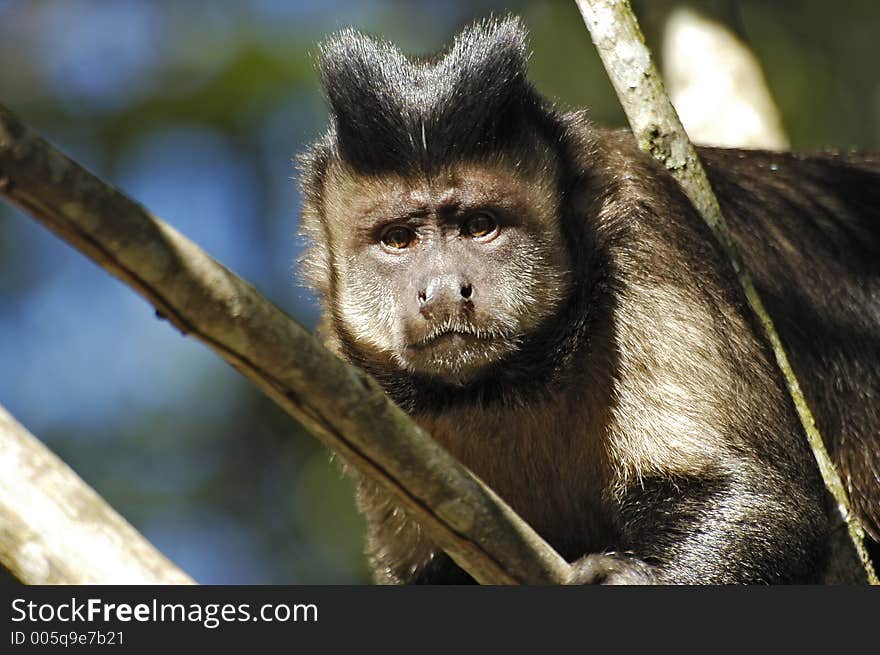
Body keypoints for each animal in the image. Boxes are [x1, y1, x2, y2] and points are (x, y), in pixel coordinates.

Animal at [298, 18, 880, 588]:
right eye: (398, 238)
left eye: (480, 226)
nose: (443, 291)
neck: (511, 385)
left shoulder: (646, 237)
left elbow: (766, 506)